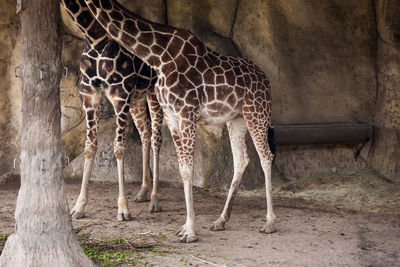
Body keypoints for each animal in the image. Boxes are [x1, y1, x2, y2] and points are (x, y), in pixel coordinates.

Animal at [61, 0, 164, 222]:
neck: (94, 36)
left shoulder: (120, 93)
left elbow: (118, 149)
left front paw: (123, 209)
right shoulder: (89, 92)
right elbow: (90, 146)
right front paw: (79, 206)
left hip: (154, 94)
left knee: (156, 138)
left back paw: (154, 200)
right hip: (138, 98)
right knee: (145, 133)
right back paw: (142, 192)